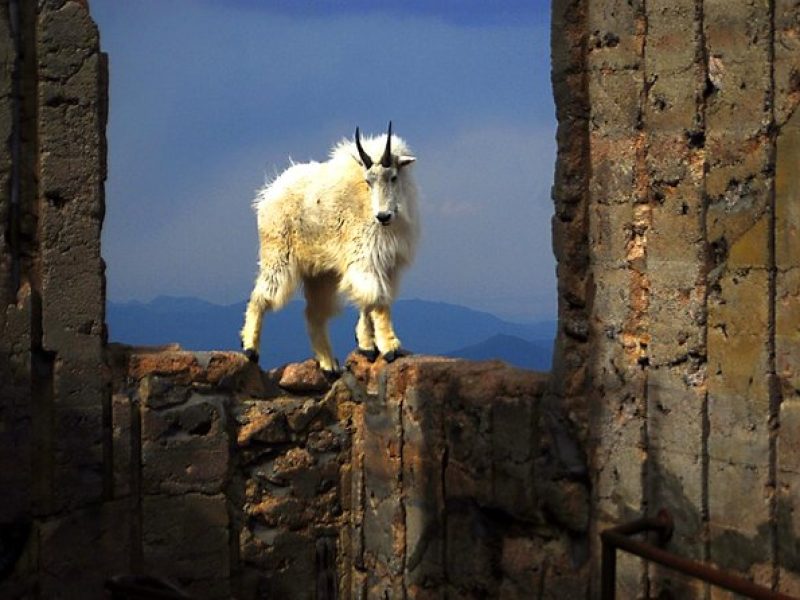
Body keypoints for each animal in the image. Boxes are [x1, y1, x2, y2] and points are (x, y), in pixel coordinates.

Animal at [241, 122, 418, 376]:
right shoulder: (365, 256)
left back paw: (328, 365)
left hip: (320, 273)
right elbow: (378, 299)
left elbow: (369, 301)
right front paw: (390, 347)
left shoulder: (386, 263)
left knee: (314, 314)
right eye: (368, 181)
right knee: (261, 296)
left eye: (393, 177)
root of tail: (268, 194)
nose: (383, 216)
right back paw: (250, 348)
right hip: (277, 255)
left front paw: (366, 345)